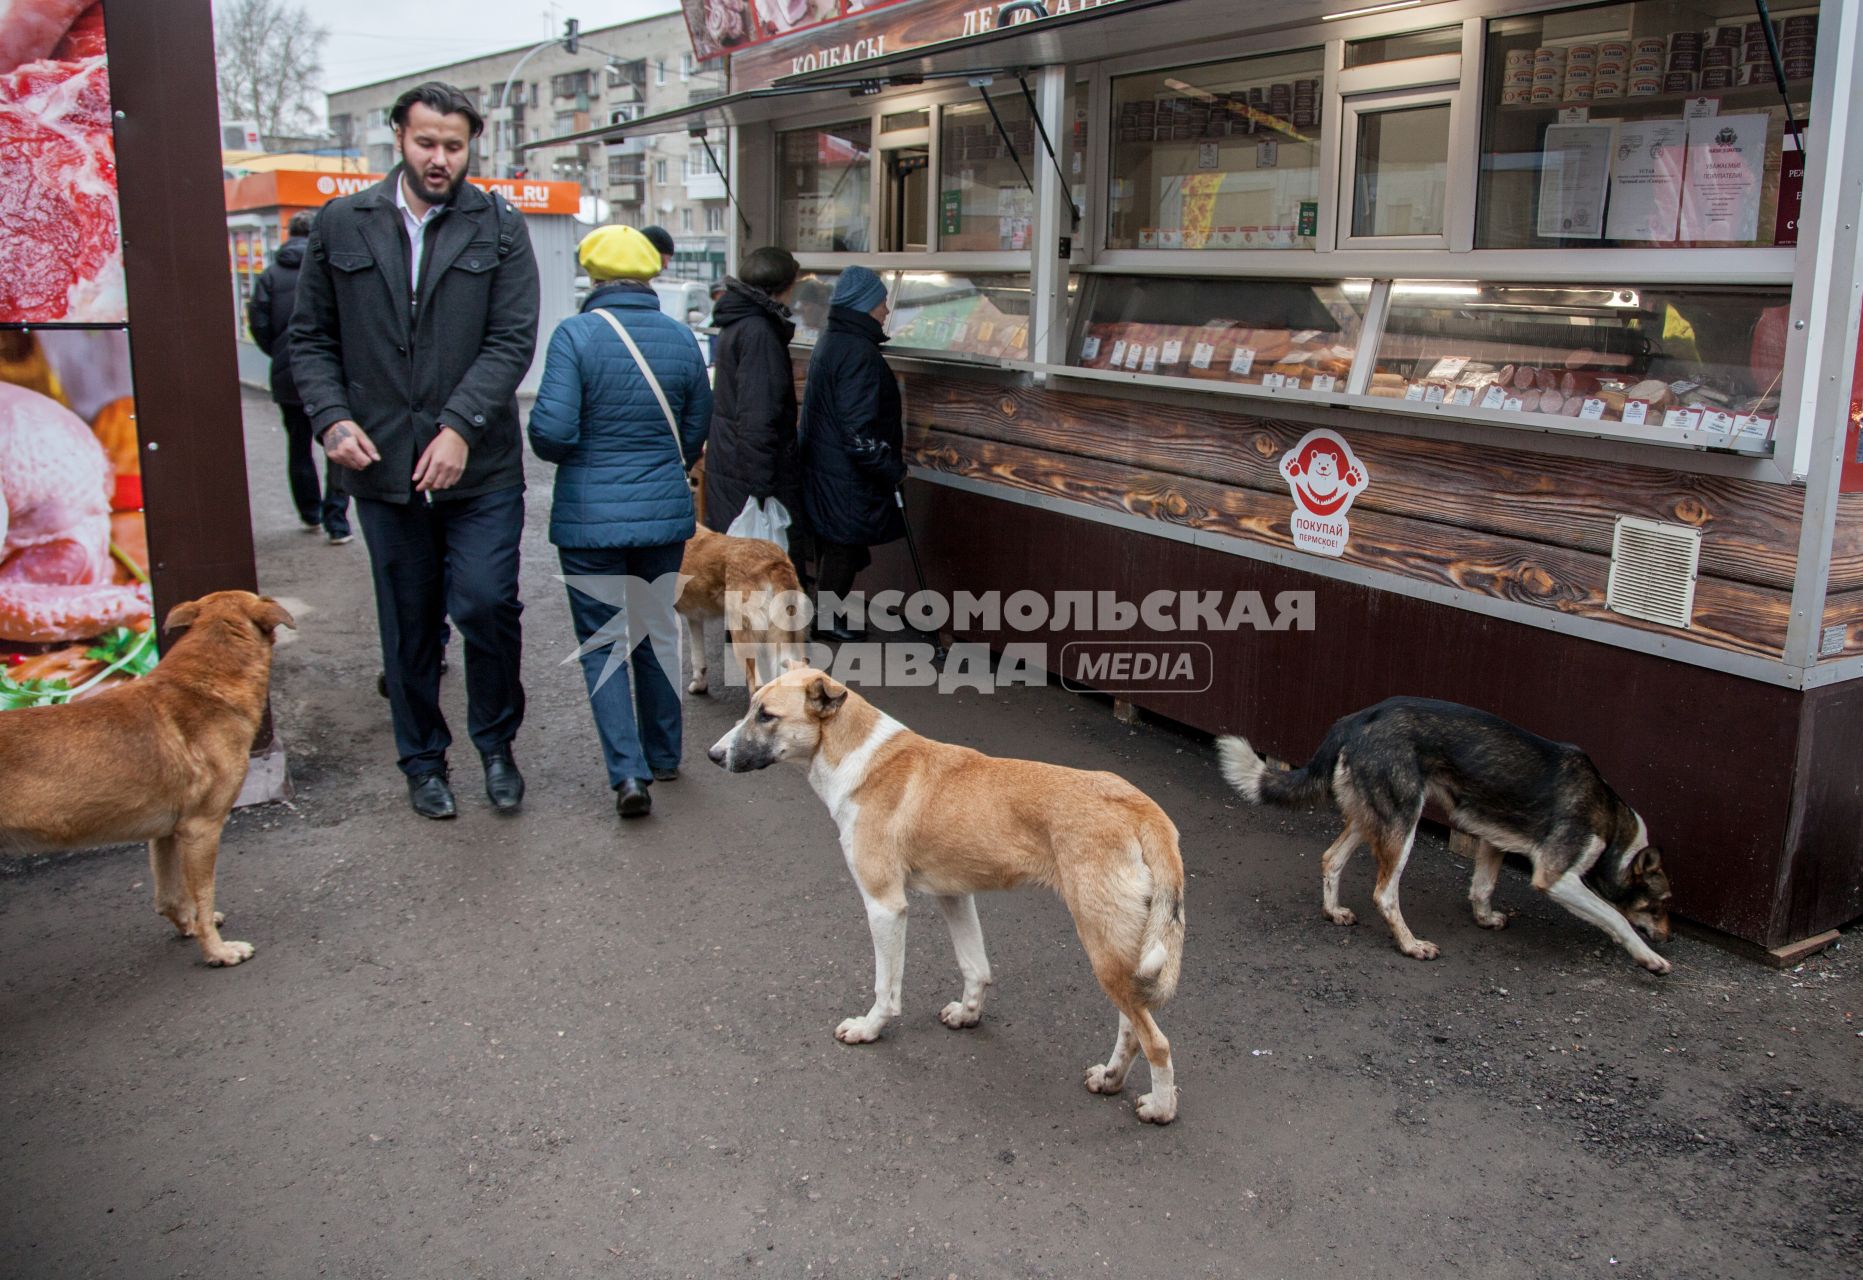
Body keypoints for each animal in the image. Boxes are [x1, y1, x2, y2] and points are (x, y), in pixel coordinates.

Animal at [0, 596, 294, 968]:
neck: (205, 684)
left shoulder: (166, 833)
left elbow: (171, 897)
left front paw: (191, 926)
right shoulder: (202, 830)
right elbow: (203, 895)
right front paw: (218, 951)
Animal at [704, 667, 1184, 1125]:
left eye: (766, 715)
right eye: (752, 709)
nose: (713, 755)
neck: (858, 756)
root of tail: (1140, 807)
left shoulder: (885, 906)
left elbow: (886, 988)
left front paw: (869, 1029)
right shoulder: (955, 896)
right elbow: (976, 967)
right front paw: (969, 1014)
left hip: (1104, 947)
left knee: (1157, 1041)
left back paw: (1161, 1108)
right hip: (1122, 951)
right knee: (1132, 1027)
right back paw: (1110, 1078)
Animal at [1222, 700, 1676, 968]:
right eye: (1658, 905)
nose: (1668, 938)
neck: (1612, 823)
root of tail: (1356, 719)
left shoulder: (1493, 840)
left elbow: (1482, 887)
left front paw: (1485, 918)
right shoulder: (1555, 878)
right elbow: (1614, 916)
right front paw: (1649, 957)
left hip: (1374, 816)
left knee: (1331, 859)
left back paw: (1334, 911)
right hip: (1403, 821)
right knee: (1384, 894)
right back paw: (1411, 945)